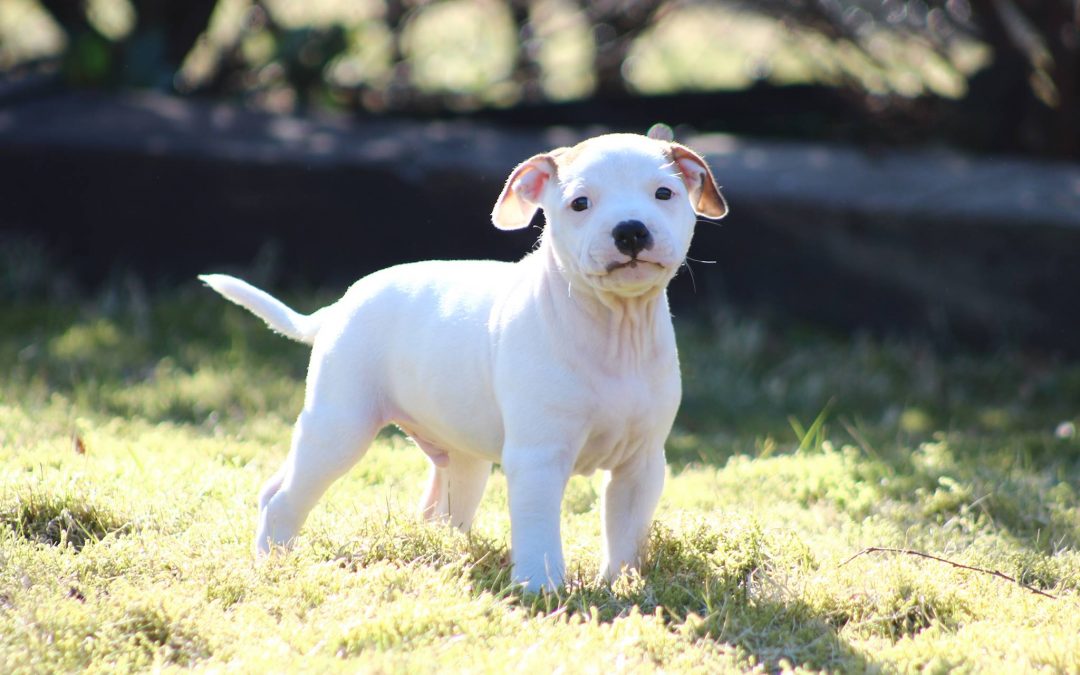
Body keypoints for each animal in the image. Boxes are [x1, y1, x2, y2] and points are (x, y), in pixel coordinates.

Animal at [203, 130, 725, 587]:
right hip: (340, 425)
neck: (613, 328)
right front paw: (541, 588)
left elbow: (625, 533)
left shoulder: (641, 464)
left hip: (458, 455)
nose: (631, 231)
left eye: (663, 193)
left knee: (429, 508)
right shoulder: (538, 458)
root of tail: (339, 306)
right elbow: (538, 527)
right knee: (286, 497)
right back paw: (272, 562)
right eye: (580, 203)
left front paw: (624, 585)